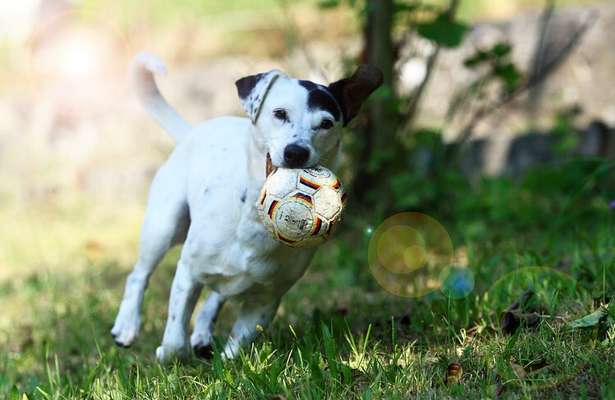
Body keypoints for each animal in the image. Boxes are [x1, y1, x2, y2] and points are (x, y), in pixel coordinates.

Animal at [109, 51, 380, 360]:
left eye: (326, 123)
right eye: (280, 113)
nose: (296, 152)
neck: (254, 217)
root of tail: (192, 132)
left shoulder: (267, 299)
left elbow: (238, 344)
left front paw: (226, 361)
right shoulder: (189, 270)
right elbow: (176, 338)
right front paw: (167, 353)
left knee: (216, 296)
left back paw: (202, 332)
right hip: (163, 226)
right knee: (139, 275)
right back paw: (127, 325)